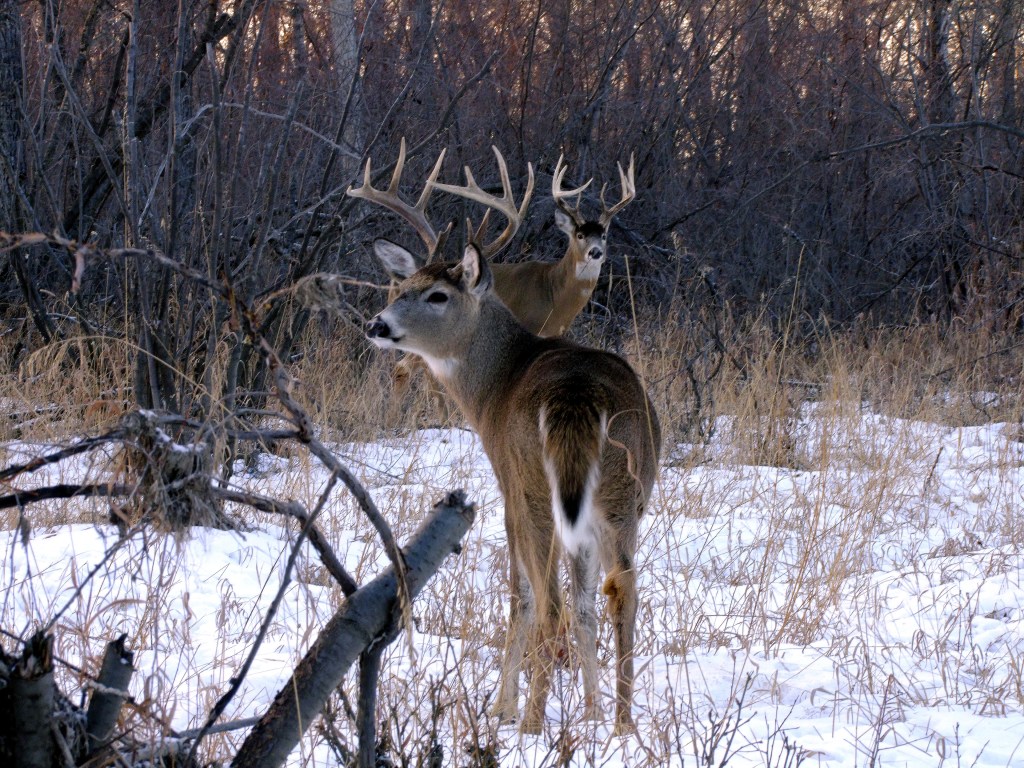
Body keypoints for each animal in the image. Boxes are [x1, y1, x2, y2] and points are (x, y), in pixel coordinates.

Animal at [364, 243, 659, 737]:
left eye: (438, 295)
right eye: (402, 288)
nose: (378, 325)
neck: (494, 387)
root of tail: (576, 396)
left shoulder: (507, 488)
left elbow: (520, 596)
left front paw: (504, 708)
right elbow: (584, 607)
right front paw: (592, 712)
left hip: (535, 485)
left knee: (550, 605)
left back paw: (532, 726)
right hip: (624, 494)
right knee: (621, 592)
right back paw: (622, 726)